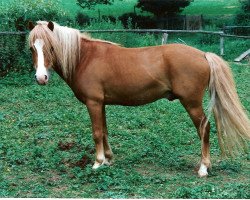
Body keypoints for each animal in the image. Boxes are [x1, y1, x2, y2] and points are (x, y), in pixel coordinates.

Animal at [27, 20, 250, 177]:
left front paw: (98, 162)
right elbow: (105, 131)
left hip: (192, 103)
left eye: (51, 47)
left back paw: (203, 168)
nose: (41, 77)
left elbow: (97, 133)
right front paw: (108, 159)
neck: (85, 58)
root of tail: (203, 55)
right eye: (32, 48)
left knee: (204, 128)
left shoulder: (93, 103)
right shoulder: (101, 104)